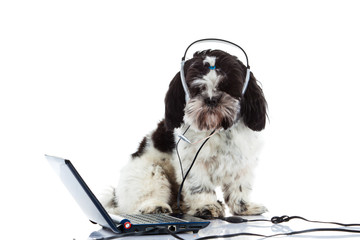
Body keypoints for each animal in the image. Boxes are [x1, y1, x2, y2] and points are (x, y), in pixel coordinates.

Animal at [101, 49, 268, 219]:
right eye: (197, 89)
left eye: (227, 87)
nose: (211, 100)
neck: (216, 129)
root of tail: (116, 198)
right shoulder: (193, 163)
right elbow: (200, 187)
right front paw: (207, 206)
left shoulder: (242, 162)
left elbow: (239, 187)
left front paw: (244, 207)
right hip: (149, 172)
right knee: (144, 196)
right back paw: (155, 206)